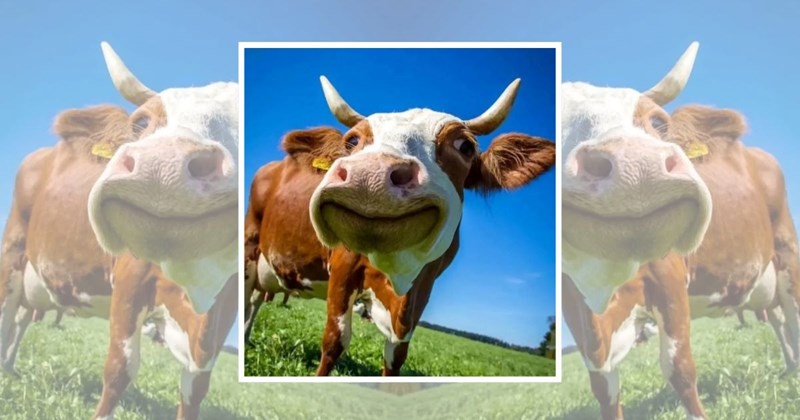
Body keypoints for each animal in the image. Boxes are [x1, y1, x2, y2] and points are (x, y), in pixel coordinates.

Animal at [245, 75, 555, 375]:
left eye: (465, 146)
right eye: (352, 142)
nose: (370, 174)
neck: (397, 275)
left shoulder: (422, 291)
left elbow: (396, 356)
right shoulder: (343, 268)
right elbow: (335, 340)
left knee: (256, 299)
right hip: (251, 245)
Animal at [562, 41, 800, 420]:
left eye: (659, 123)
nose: (636, 166)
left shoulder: (669, 281)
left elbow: (679, 368)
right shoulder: (577, 315)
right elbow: (604, 390)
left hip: (785, 249)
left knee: (792, 314)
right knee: (778, 319)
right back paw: (789, 368)